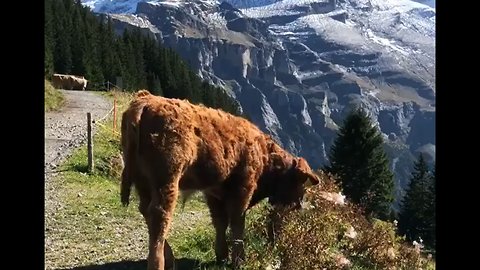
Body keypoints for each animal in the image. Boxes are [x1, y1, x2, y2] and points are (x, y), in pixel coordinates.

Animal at [122, 90, 320, 270]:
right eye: (301, 184)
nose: (298, 205)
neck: (265, 156)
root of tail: (146, 101)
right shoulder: (243, 188)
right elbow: (237, 223)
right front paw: (239, 259)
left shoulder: (214, 193)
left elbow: (220, 222)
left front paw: (222, 255)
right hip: (167, 178)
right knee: (159, 216)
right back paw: (159, 263)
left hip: (143, 181)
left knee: (146, 210)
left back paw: (169, 257)